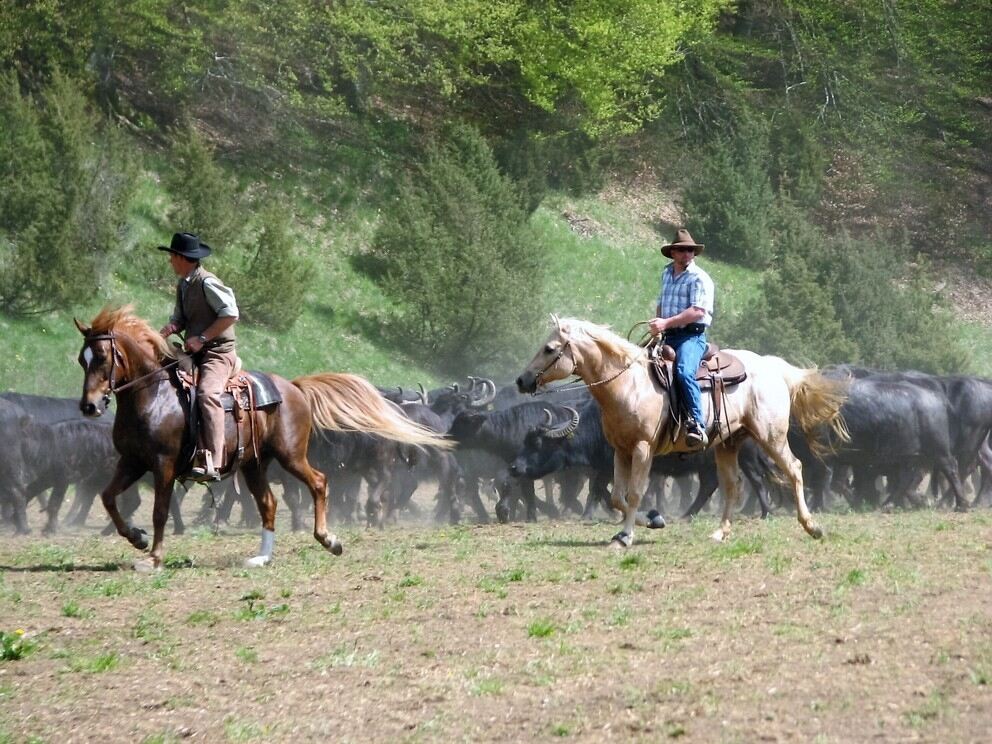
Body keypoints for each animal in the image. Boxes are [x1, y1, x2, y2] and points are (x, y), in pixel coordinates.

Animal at [75, 304, 452, 568]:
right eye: (82, 359)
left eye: (104, 357)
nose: (90, 406)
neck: (155, 396)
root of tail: (295, 387)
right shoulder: (132, 462)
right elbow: (108, 498)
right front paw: (136, 538)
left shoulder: (163, 465)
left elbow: (159, 511)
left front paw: (152, 557)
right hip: (253, 463)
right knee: (268, 502)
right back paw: (262, 557)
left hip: (291, 456)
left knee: (318, 483)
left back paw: (329, 539)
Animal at [516, 316, 848, 548]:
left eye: (549, 349)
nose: (522, 380)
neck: (628, 385)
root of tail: (773, 367)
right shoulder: (620, 451)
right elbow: (617, 498)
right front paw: (653, 520)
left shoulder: (643, 448)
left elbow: (633, 493)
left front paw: (626, 536)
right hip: (729, 443)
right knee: (733, 485)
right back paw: (720, 532)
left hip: (771, 436)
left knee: (794, 469)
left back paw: (812, 526)